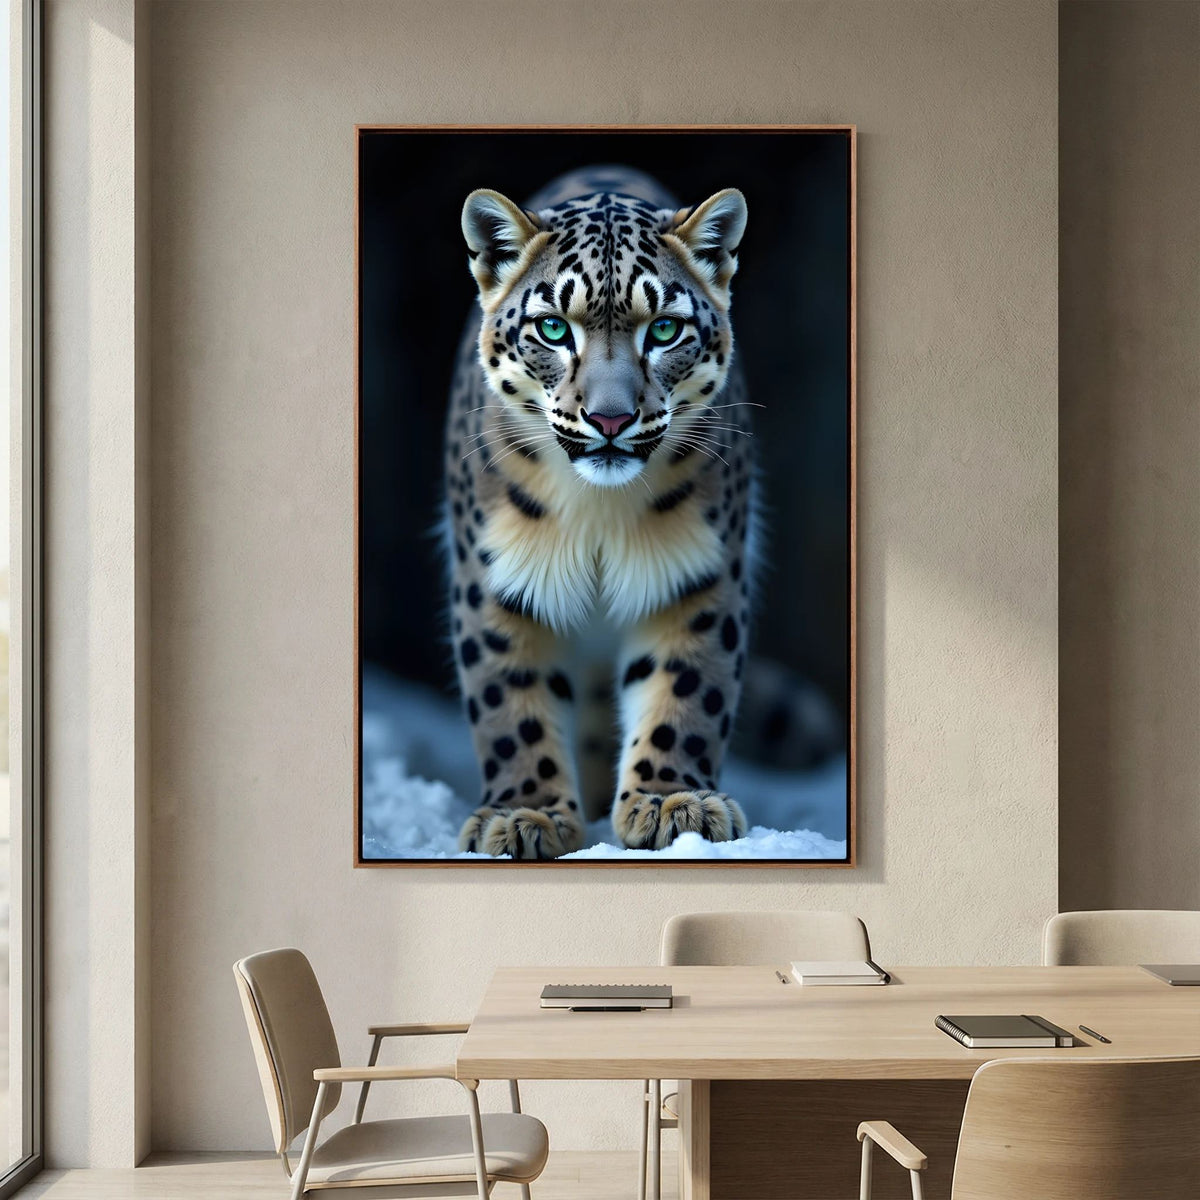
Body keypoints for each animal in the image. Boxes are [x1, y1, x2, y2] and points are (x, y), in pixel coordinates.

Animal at [442, 165, 760, 859]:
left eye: (663, 329)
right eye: (554, 329)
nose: (610, 419)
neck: (598, 513)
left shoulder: (697, 575)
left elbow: (686, 689)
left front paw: (674, 803)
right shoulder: (496, 580)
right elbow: (510, 702)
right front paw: (525, 815)